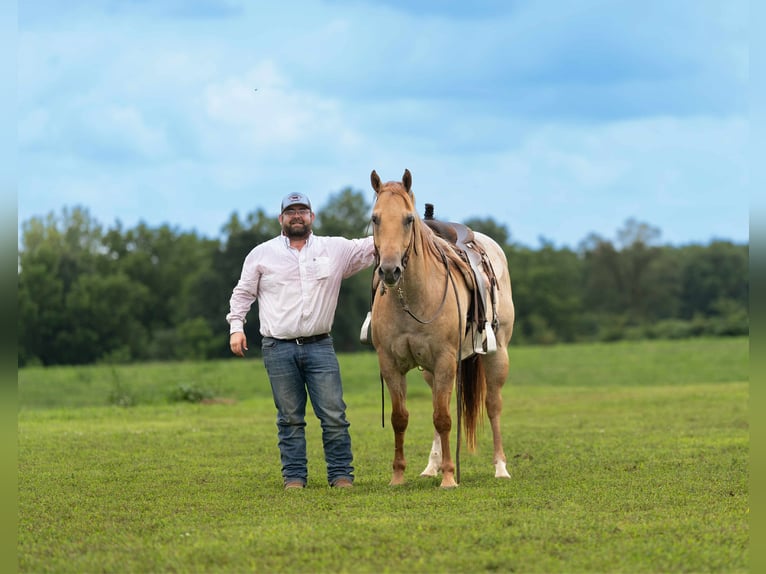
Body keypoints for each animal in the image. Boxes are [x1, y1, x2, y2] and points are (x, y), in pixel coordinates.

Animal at [369, 168, 515, 488]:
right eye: (375, 218)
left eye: (408, 219)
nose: (389, 270)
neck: (413, 298)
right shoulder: (390, 364)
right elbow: (401, 418)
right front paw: (398, 475)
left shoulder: (445, 359)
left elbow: (444, 418)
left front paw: (449, 477)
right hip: (431, 371)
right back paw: (431, 466)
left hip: (497, 355)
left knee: (493, 405)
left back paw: (500, 467)